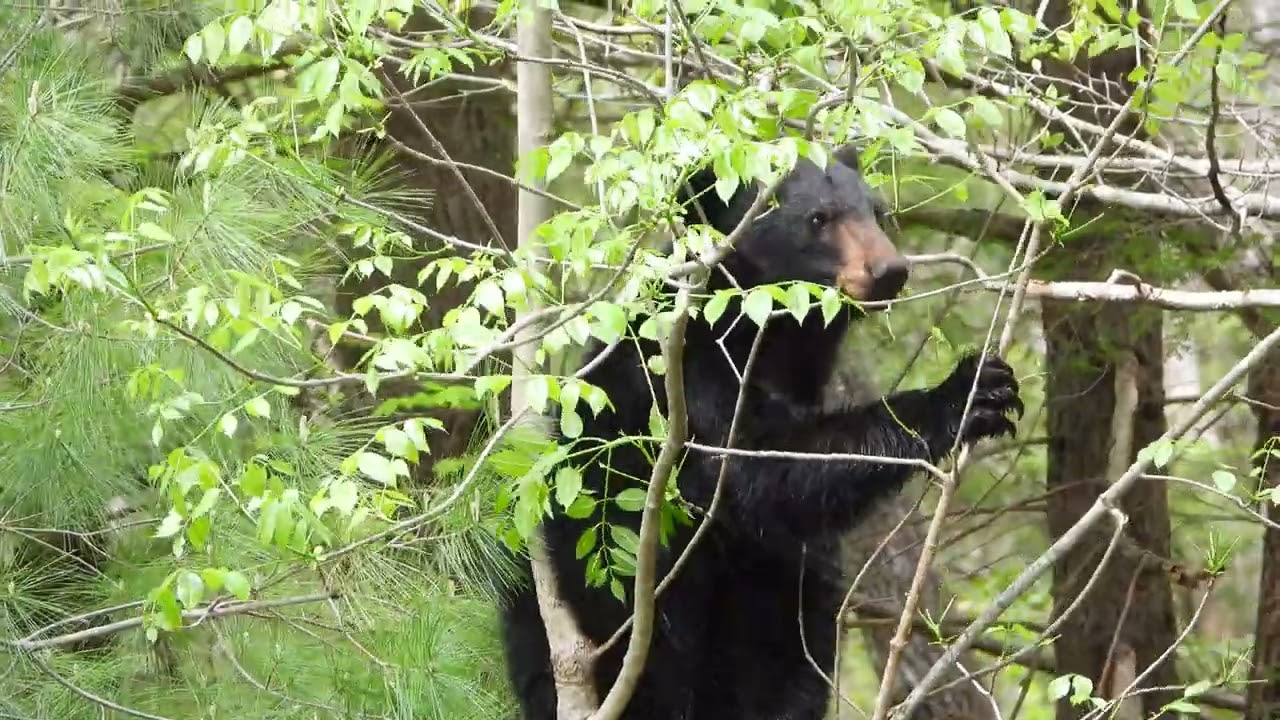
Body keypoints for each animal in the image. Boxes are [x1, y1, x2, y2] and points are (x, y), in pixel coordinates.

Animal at [498, 144, 1023, 720]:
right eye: (818, 218)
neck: (767, 338)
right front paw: (965, 391)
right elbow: (755, 464)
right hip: (604, 593)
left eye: (878, 212)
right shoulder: (680, 377)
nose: (890, 271)